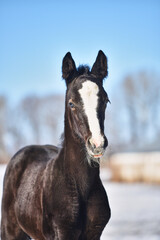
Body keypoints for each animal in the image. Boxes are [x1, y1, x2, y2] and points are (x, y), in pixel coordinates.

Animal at [1, 49, 110, 239]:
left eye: (105, 100)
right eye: (71, 103)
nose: (97, 144)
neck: (81, 187)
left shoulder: (95, 233)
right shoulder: (62, 233)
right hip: (11, 230)